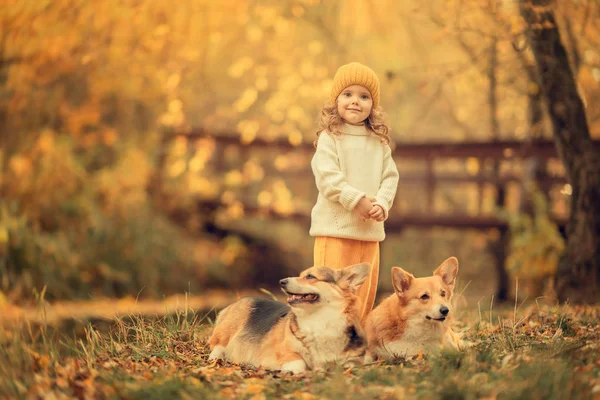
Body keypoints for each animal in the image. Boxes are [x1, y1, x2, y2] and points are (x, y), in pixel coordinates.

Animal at [211, 264, 370, 374]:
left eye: (310, 276)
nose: (282, 281)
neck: (318, 319)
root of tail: (237, 301)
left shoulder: (352, 360)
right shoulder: (286, 350)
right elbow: (299, 363)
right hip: (229, 327)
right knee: (217, 346)